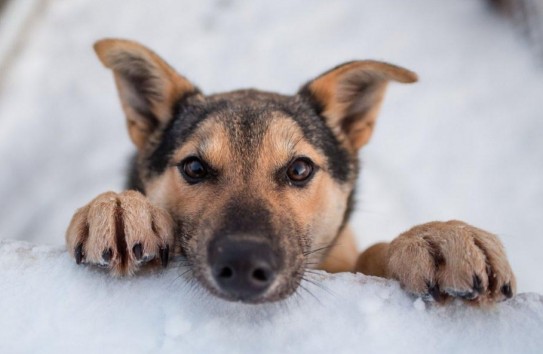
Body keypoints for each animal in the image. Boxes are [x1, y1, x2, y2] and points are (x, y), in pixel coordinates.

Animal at [66, 38, 516, 304]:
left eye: (300, 169)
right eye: (194, 167)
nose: (243, 266)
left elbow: (371, 253)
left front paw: (436, 238)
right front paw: (119, 208)